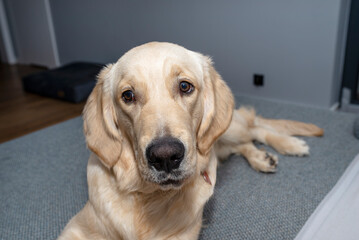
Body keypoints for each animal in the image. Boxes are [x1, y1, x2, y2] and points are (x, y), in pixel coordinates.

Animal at [58, 42, 324, 239]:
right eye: (128, 95)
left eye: (185, 86)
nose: (165, 157)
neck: (148, 197)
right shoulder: (77, 228)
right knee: (242, 144)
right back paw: (261, 157)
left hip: (229, 127)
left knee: (255, 126)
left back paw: (290, 145)